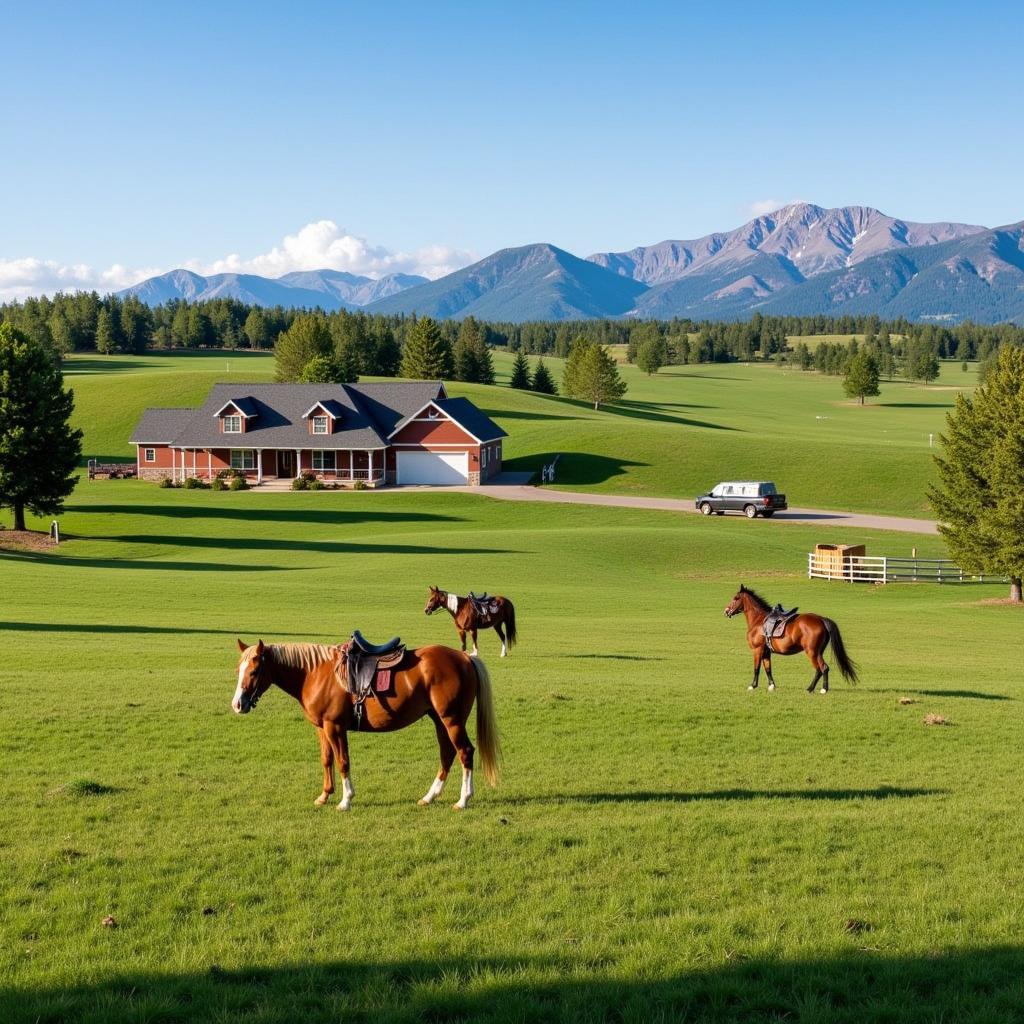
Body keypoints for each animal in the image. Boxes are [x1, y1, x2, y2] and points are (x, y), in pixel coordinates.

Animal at [233, 634, 503, 811]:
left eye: (254, 671)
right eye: (238, 670)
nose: (237, 704)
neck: (314, 673)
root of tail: (465, 659)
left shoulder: (335, 727)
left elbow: (343, 761)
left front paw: (345, 800)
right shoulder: (322, 728)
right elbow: (327, 759)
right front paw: (324, 796)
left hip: (452, 720)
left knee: (465, 752)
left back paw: (463, 800)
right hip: (439, 720)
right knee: (447, 753)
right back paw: (429, 797)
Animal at [724, 585, 860, 696]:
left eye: (736, 598)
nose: (726, 611)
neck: (758, 621)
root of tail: (821, 619)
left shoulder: (757, 650)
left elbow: (756, 668)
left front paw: (752, 686)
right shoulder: (766, 652)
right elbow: (768, 668)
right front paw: (771, 686)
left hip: (812, 652)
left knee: (821, 668)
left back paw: (815, 689)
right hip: (818, 652)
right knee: (823, 668)